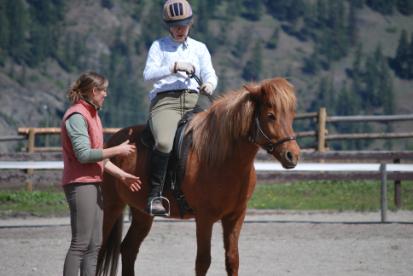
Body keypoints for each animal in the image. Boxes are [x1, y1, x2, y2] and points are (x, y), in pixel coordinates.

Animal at [98, 76, 300, 274]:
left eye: (291, 115)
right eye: (270, 116)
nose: (293, 155)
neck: (221, 160)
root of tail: (111, 142)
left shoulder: (235, 216)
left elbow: (232, 260)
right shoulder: (204, 218)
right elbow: (203, 261)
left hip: (142, 213)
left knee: (129, 249)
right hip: (111, 207)